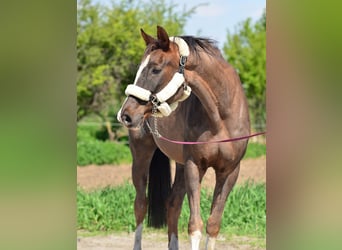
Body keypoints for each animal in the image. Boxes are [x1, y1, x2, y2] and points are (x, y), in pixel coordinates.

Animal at [118, 25, 251, 250]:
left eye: (155, 68)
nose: (125, 114)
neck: (221, 117)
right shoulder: (194, 166)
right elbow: (195, 226)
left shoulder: (229, 171)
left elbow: (213, 224)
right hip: (141, 156)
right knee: (141, 205)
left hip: (179, 165)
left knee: (172, 204)